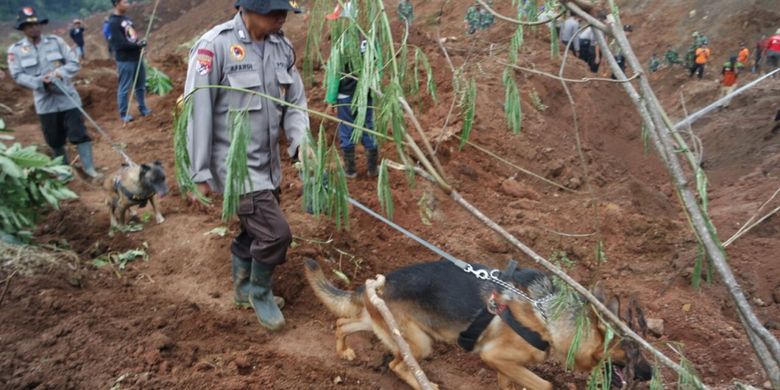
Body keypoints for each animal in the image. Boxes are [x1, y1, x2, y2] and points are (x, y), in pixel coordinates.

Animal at [304, 258, 652, 390]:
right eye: (633, 351)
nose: (650, 374)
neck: (547, 315)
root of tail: (377, 284)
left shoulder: (504, 366)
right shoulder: (496, 357)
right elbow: (545, 384)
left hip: (382, 324)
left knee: (343, 321)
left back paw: (345, 351)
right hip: (419, 343)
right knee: (397, 365)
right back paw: (427, 385)